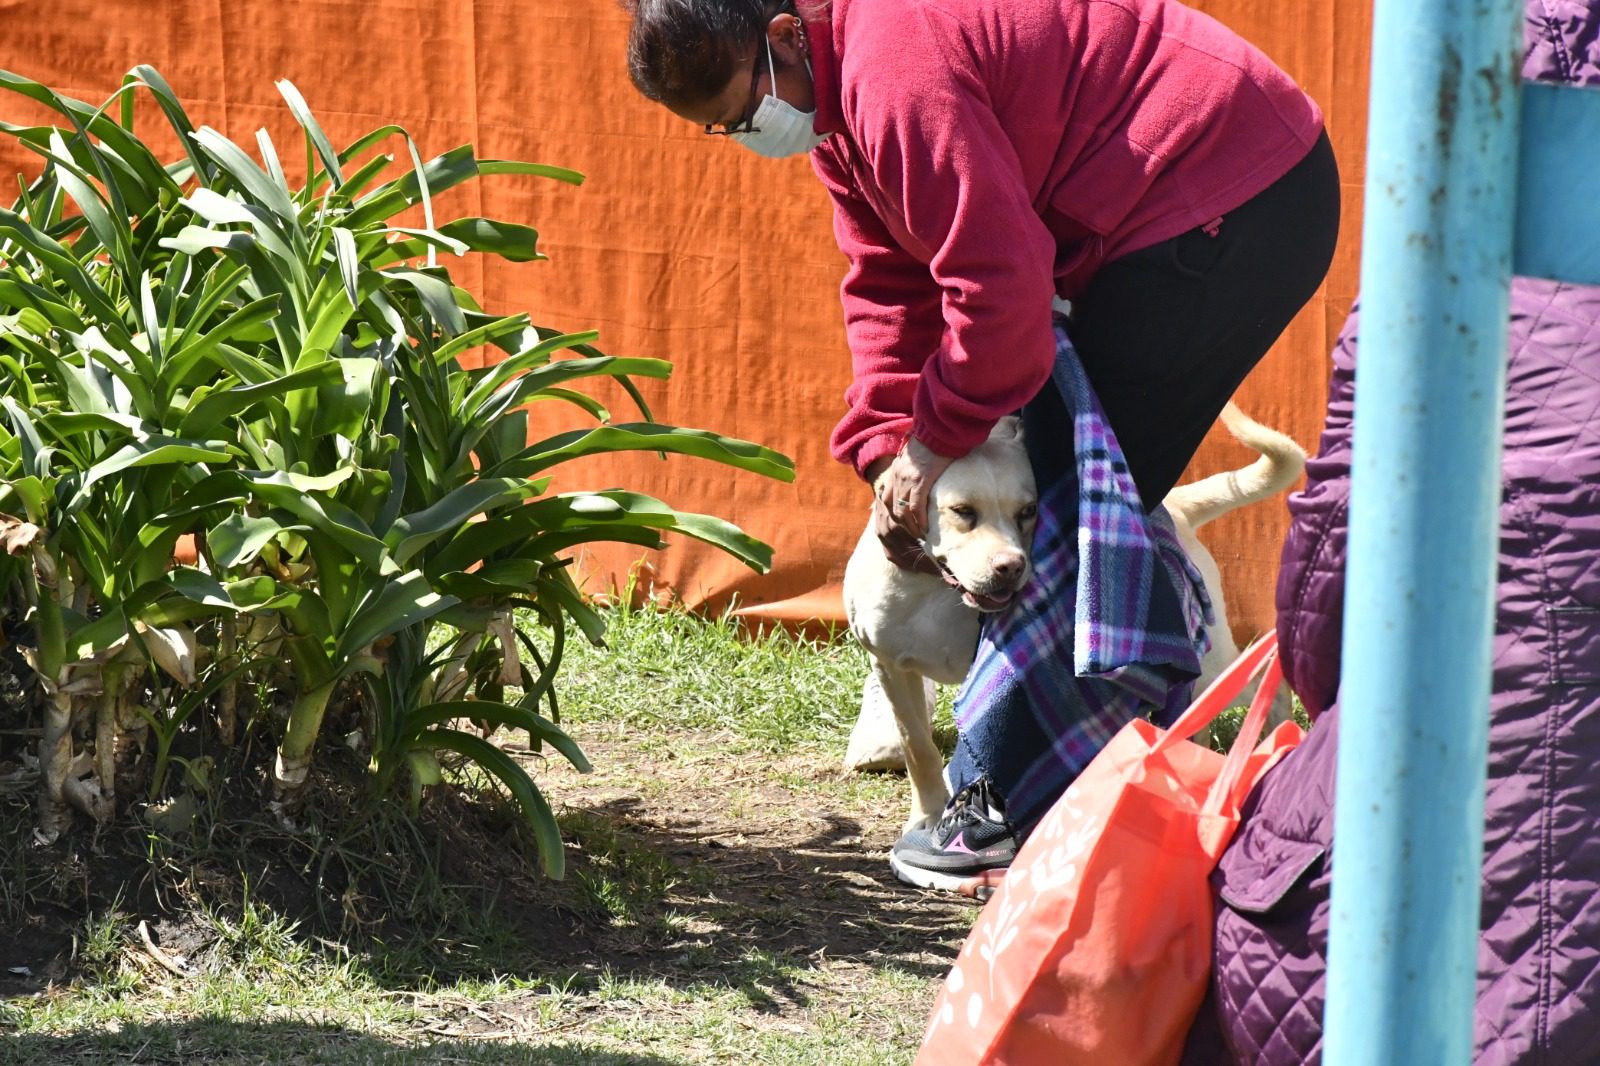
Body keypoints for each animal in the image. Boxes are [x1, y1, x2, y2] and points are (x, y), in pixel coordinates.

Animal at [844, 403, 1305, 825]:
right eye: (963, 512)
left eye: (1028, 511)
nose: (1011, 566)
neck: (939, 591)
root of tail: (1175, 504)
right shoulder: (891, 668)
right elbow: (917, 748)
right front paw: (927, 815)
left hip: (1210, 660)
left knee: (1265, 677)